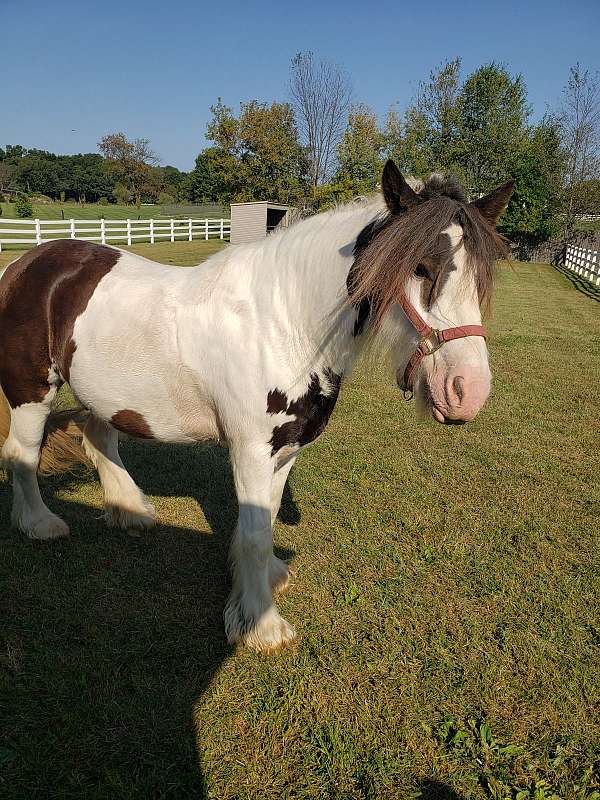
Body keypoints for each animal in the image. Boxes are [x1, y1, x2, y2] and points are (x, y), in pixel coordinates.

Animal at [1, 161, 510, 648]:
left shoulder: (285, 449)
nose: (468, 390)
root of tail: (25, 263)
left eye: (483, 276)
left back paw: (130, 510)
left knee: (98, 438)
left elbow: (266, 516)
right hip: (32, 392)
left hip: (105, 395)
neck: (284, 322)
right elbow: (254, 534)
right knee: (22, 453)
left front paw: (263, 583)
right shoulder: (250, 449)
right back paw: (40, 524)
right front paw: (260, 625)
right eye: (420, 267)